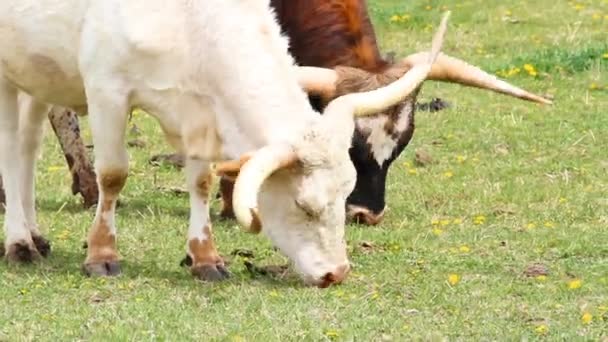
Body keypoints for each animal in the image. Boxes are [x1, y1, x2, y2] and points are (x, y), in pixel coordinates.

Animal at [1, 1, 452, 288]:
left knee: (28, 146)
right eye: (303, 205)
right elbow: (113, 175)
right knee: (11, 150)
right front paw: (101, 256)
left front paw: (205, 258)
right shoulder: (107, 92)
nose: (336, 274)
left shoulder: (198, 112)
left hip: (39, 74)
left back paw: (35, 235)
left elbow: (201, 181)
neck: (189, 20)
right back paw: (20, 243)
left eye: (344, 194)